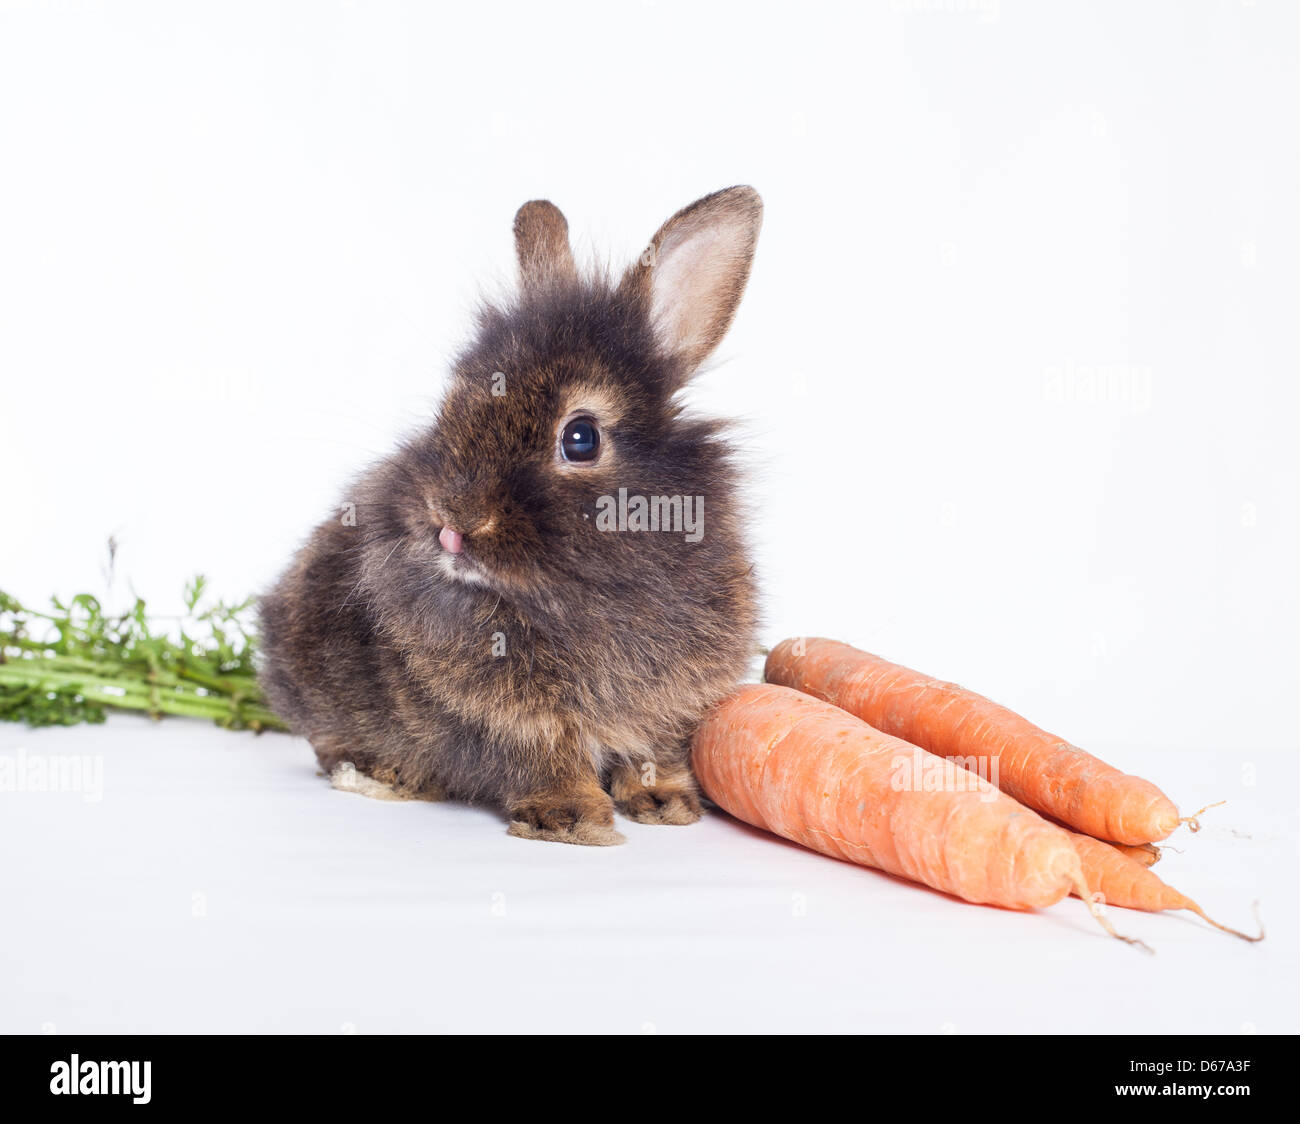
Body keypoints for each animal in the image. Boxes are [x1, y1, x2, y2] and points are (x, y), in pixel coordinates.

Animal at [257, 186, 763, 845]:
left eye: (580, 438)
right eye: (451, 407)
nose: (450, 523)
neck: (571, 594)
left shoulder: (671, 706)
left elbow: (653, 750)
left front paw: (666, 804)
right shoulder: (507, 718)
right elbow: (544, 757)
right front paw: (572, 820)